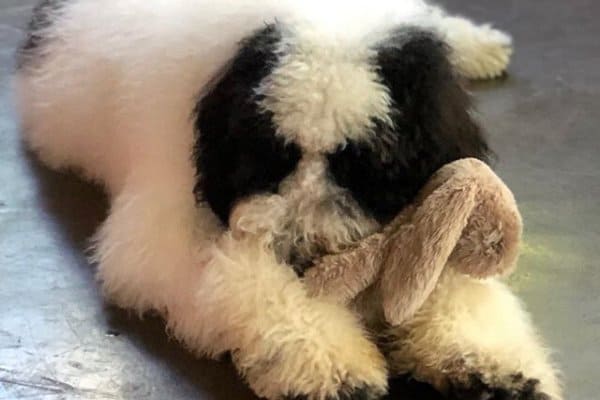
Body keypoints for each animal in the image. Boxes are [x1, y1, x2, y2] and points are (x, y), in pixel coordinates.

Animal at [16, 0, 560, 400]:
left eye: (364, 165)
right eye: (272, 156)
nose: (299, 254)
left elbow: (447, 275)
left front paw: (495, 365)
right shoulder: (158, 232)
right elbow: (252, 285)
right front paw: (333, 366)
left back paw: (480, 45)